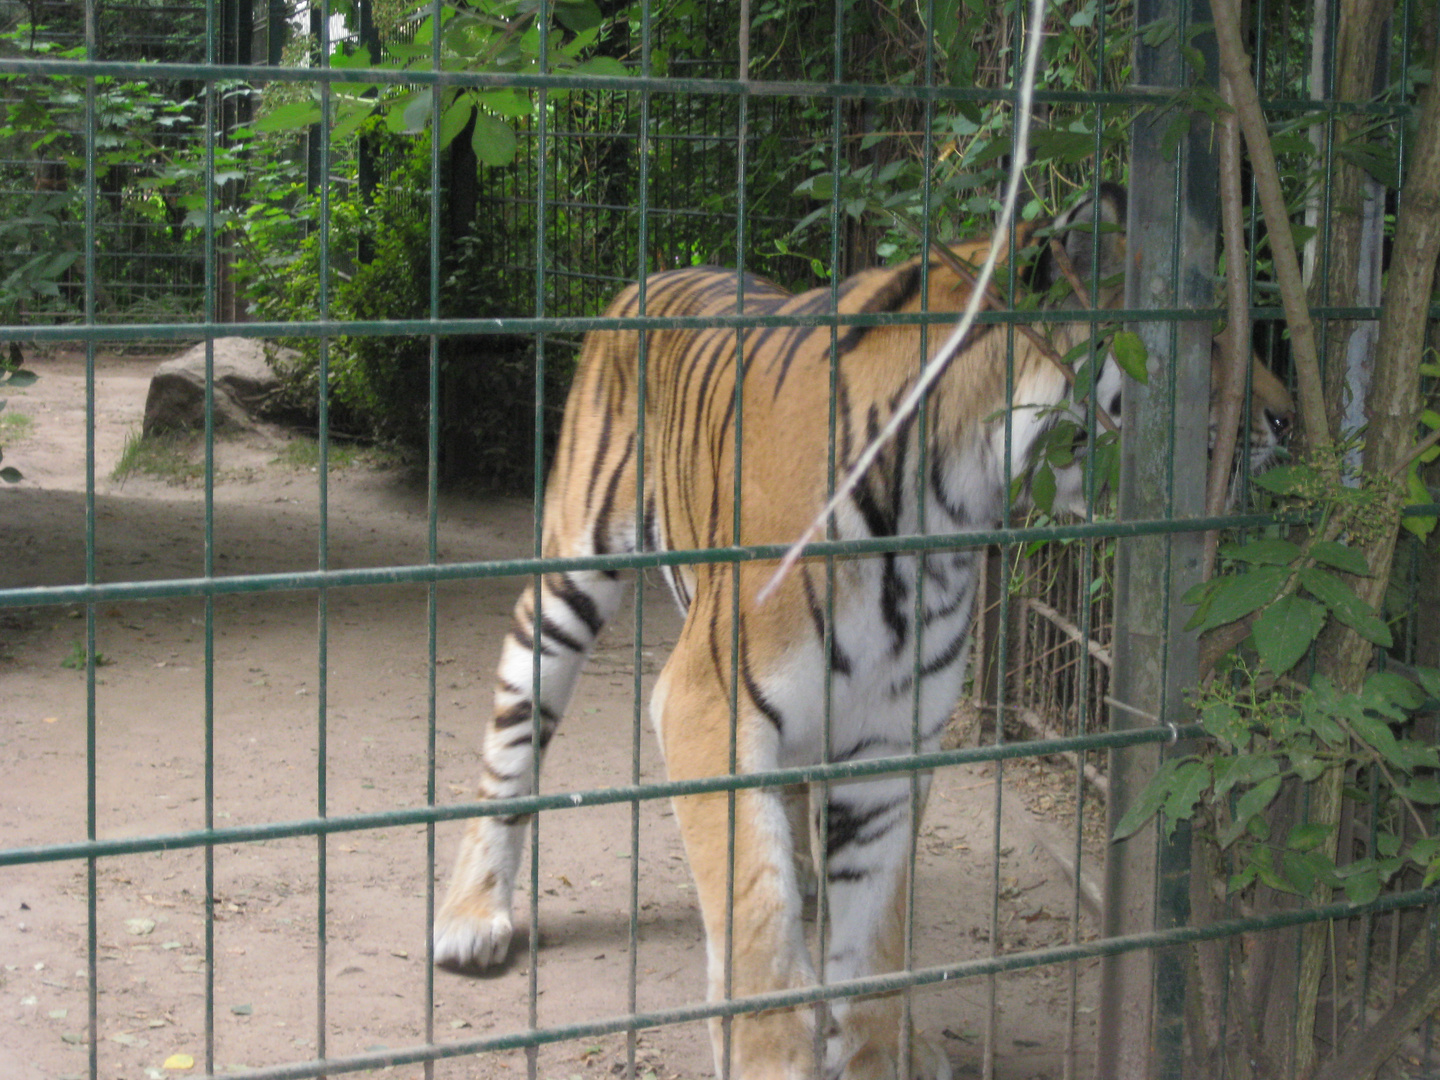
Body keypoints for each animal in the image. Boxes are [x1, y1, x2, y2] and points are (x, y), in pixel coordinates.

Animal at [434, 185, 1296, 1080]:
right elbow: (755, 927)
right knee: (513, 739)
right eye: (1210, 336)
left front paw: (879, 1051)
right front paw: (772, 1057)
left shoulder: (889, 739)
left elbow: (874, 943)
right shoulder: (707, 704)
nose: (1288, 419)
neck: (950, 507)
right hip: (568, 578)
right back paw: (472, 915)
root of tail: (654, 273)